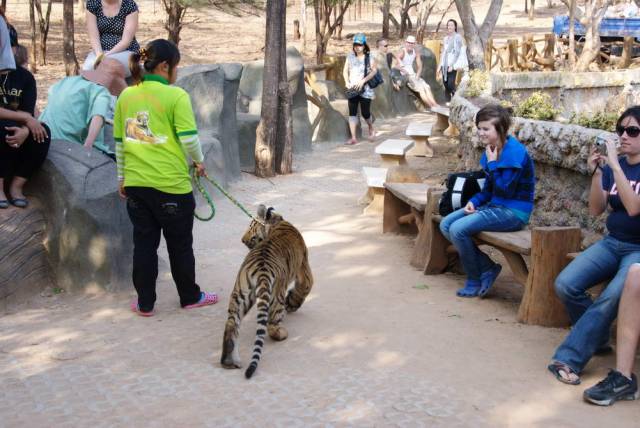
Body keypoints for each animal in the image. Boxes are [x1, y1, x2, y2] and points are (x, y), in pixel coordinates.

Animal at [221, 204, 314, 378]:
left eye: (251, 225)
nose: (242, 240)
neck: (276, 222)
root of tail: (261, 269)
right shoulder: (303, 268)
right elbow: (306, 287)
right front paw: (292, 304)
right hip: (276, 295)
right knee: (271, 325)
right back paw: (282, 333)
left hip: (240, 294)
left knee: (231, 325)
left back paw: (229, 362)